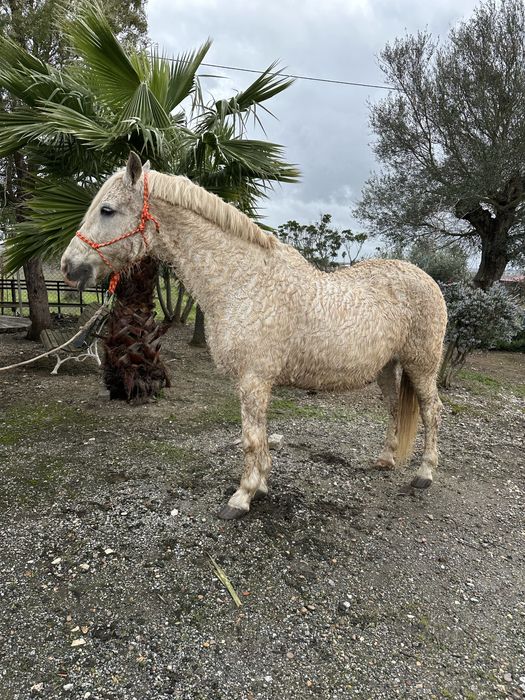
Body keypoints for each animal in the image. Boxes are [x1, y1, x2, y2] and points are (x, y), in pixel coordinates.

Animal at [61, 153, 448, 520]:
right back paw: (386, 459)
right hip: (387, 367)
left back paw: (425, 474)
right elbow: (258, 436)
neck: (243, 282)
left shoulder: (254, 379)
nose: (69, 267)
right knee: (395, 408)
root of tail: (426, 279)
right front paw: (260, 484)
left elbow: (250, 438)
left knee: (432, 411)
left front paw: (242, 496)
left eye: (107, 210)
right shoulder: (253, 381)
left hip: (422, 366)